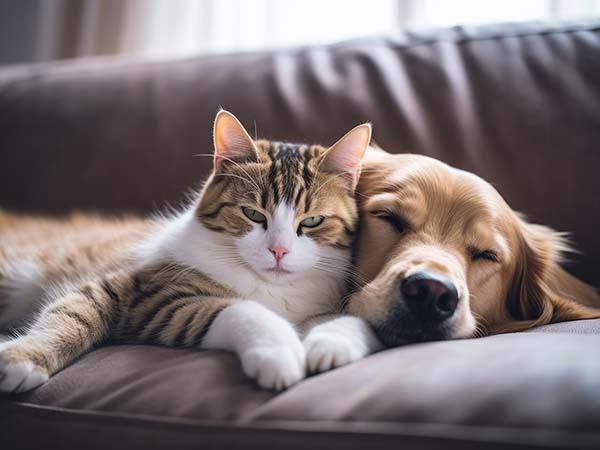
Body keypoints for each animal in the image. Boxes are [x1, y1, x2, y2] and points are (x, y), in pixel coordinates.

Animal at [0, 110, 380, 392]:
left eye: (312, 220)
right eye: (253, 214)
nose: (279, 251)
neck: (270, 287)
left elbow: (350, 321)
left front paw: (330, 345)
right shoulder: (142, 293)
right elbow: (243, 309)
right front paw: (281, 355)